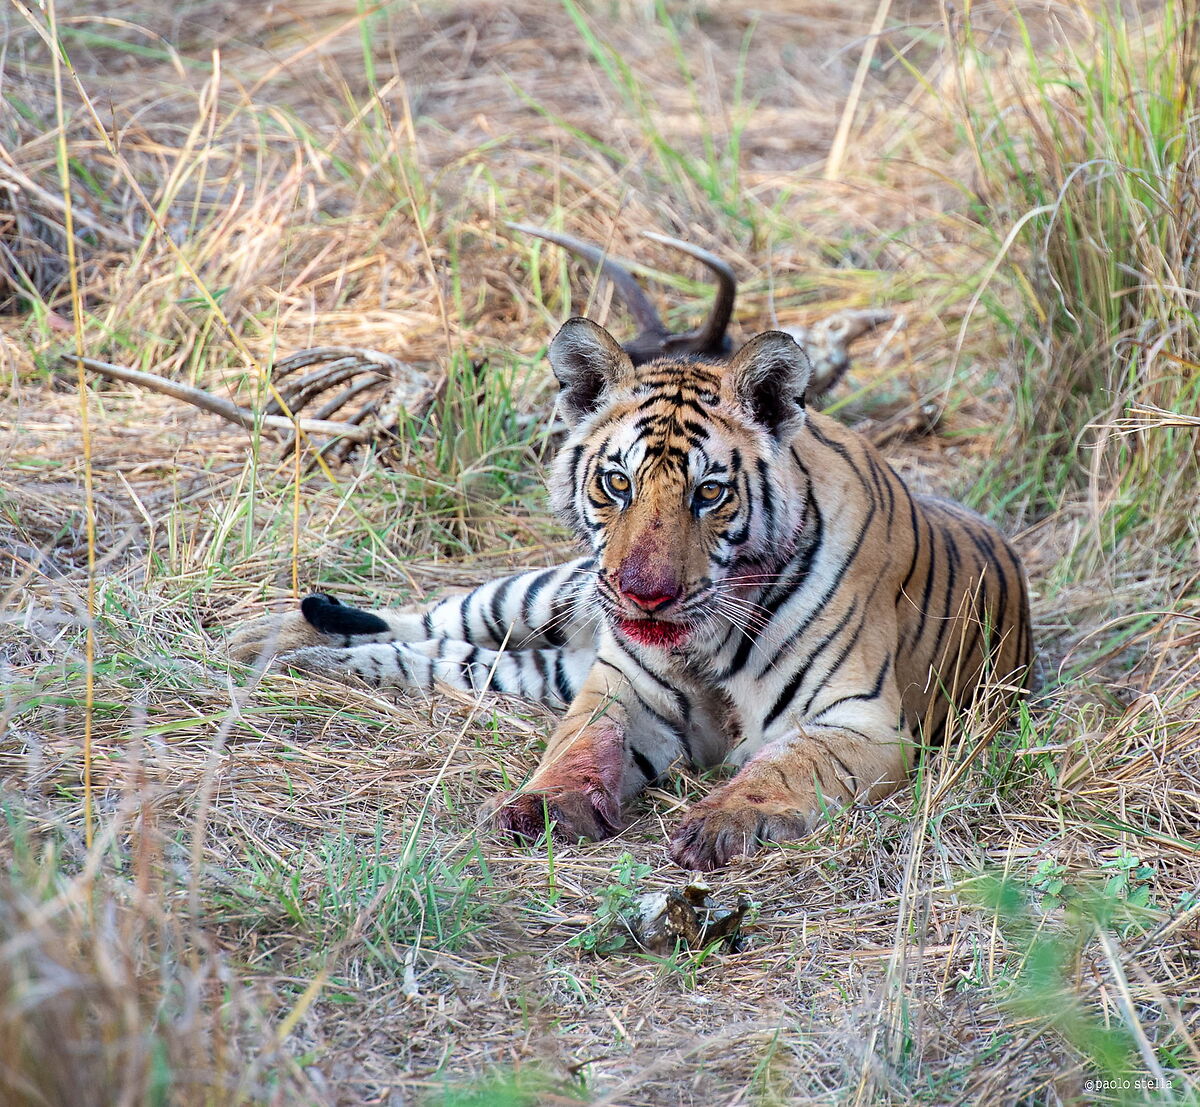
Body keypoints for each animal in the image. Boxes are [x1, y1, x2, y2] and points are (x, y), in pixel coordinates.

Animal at [228, 318, 1033, 870]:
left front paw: (718, 823)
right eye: (617, 483)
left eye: (710, 493)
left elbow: (786, 765)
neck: (712, 638)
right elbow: (579, 746)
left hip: (535, 665)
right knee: (422, 616)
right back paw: (264, 639)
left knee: (434, 658)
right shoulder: (623, 688)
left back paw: (296, 659)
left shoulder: (863, 721)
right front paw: (540, 806)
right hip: (537, 597)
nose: (644, 597)